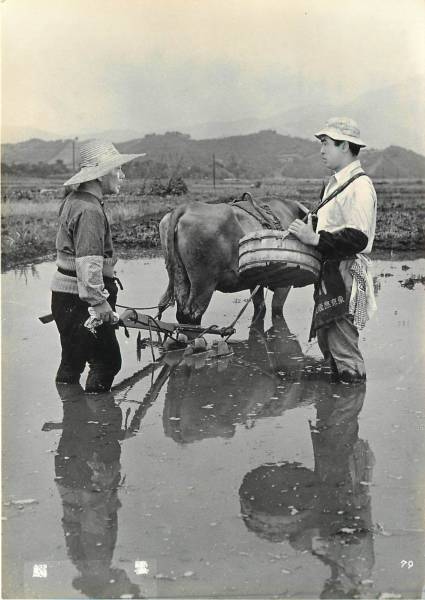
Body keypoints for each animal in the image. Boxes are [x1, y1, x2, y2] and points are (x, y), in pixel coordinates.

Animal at [157, 198, 306, 326]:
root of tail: (186, 207)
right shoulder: (285, 284)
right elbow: (277, 311)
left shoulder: (255, 281)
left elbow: (260, 308)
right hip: (203, 283)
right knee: (192, 315)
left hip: (180, 277)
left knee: (181, 313)